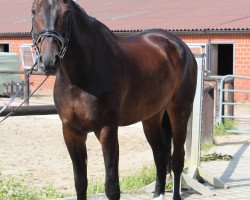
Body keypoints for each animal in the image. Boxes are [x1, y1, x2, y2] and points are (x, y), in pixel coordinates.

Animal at [31, 0, 196, 199]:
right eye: (33, 12)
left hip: (179, 112)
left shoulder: (107, 129)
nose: (49, 60)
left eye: (67, 13)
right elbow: (80, 182)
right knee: (160, 156)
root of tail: (180, 46)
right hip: (151, 117)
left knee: (177, 159)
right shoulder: (71, 131)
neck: (80, 76)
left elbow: (111, 186)